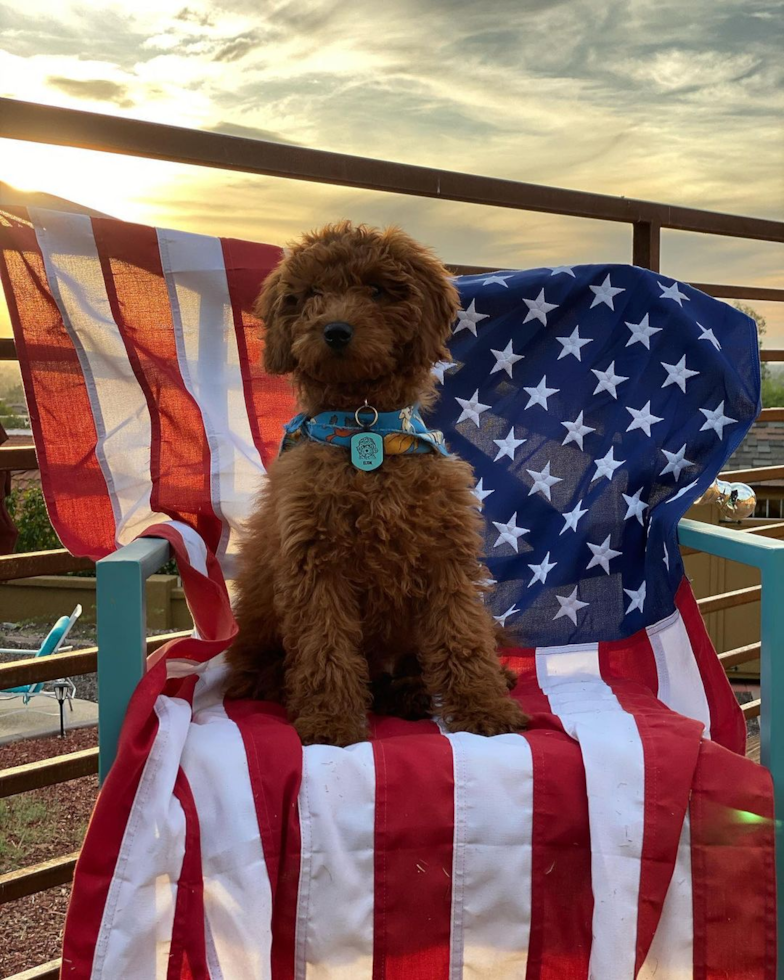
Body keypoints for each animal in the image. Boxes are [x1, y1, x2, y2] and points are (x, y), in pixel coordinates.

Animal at [225, 220, 528, 744]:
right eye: (311, 294)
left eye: (376, 290)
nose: (335, 330)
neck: (364, 429)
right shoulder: (315, 564)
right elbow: (325, 645)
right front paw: (330, 721)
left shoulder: (445, 557)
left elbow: (463, 636)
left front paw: (486, 707)